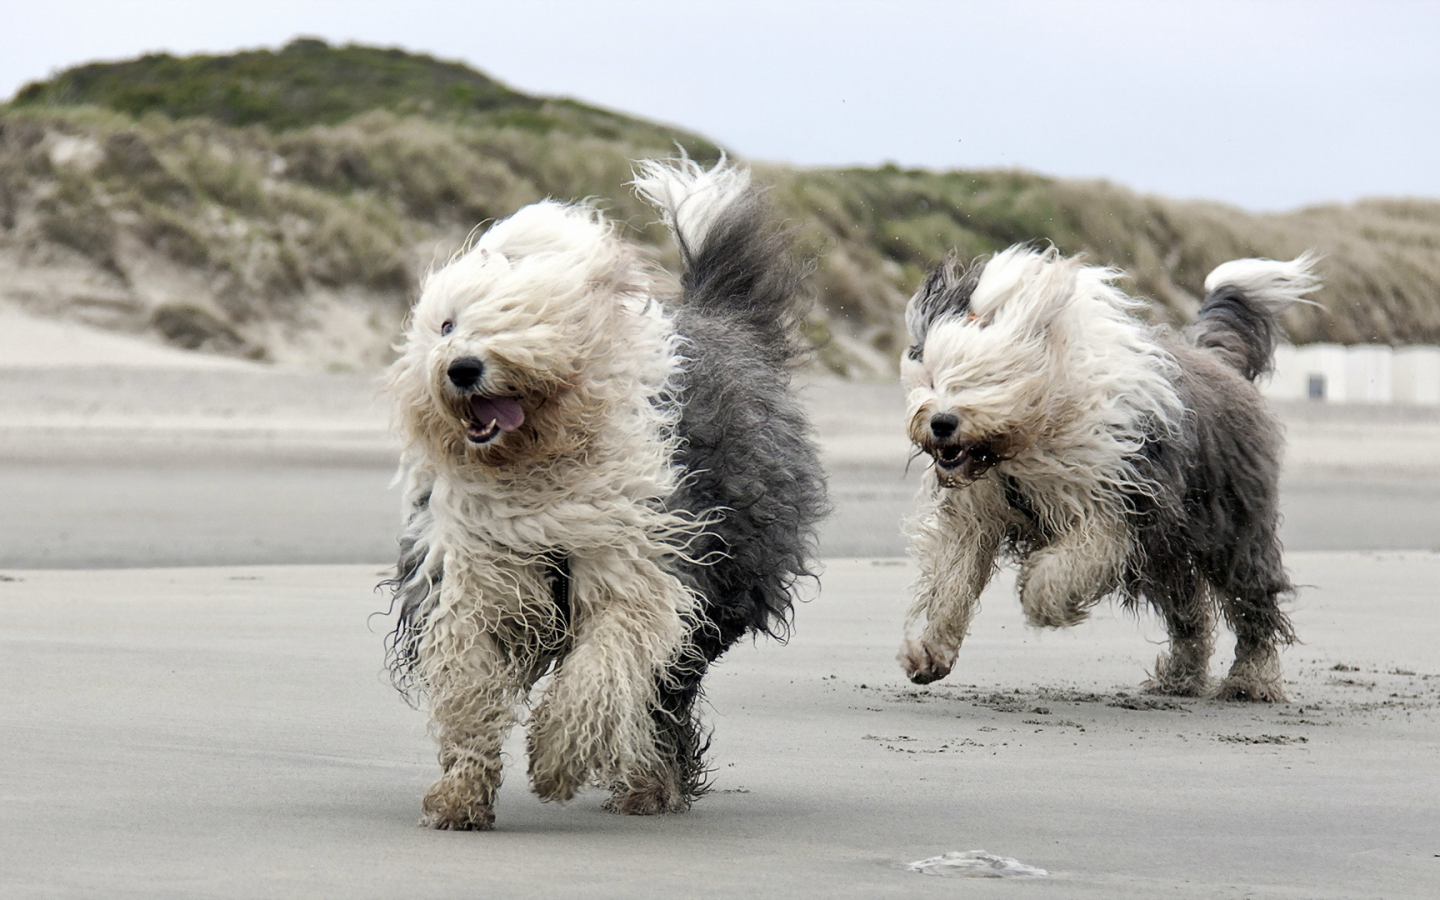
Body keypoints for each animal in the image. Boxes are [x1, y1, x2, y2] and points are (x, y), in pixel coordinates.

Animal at [383, 159, 829, 829]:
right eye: (447, 324)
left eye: (521, 318)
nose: (460, 367)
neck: (537, 469)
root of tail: (719, 315)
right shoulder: (473, 576)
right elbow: (470, 686)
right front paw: (460, 795)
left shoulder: (641, 569)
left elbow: (602, 669)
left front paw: (556, 758)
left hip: (719, 591)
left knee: (664, 695)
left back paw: (651, 784)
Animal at [898, 241, 1319, 699]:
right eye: (932, 377)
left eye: (987, 379)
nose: (941, 423)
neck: (1029, 440)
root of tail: (1213, 358)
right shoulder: (976, 512)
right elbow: (953, 579)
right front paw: (930, 651)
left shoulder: (1116, 504)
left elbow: (1074, 561)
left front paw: (1044, 601)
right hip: (1168, 549)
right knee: (1189, 610)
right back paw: (1181, 676)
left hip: (1230, 526)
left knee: (1251, 602)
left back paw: (1250, 679)